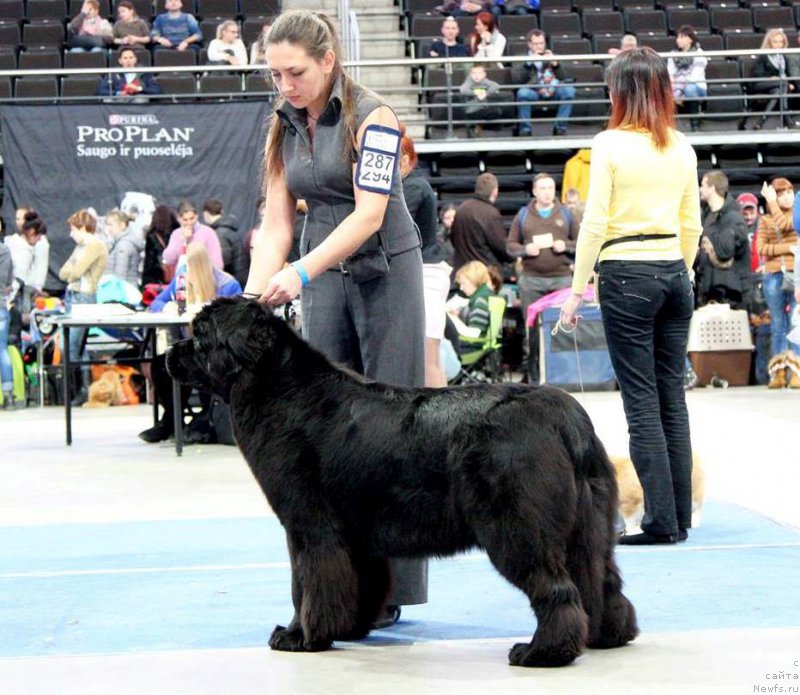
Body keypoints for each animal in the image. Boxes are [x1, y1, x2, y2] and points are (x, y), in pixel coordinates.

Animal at [167, 296, 636, 668]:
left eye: (200, 333)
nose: (171, 350)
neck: (278, 387)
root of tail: (565, 416)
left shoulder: (308, 524)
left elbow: (307, 583)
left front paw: (300, 636)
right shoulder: (356, 534)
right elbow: (360, 581)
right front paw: (350, 628)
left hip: (517, 526)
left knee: (557, 589)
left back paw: (542, 653)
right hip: (589, 526)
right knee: (602, 579)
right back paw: (609, 635)